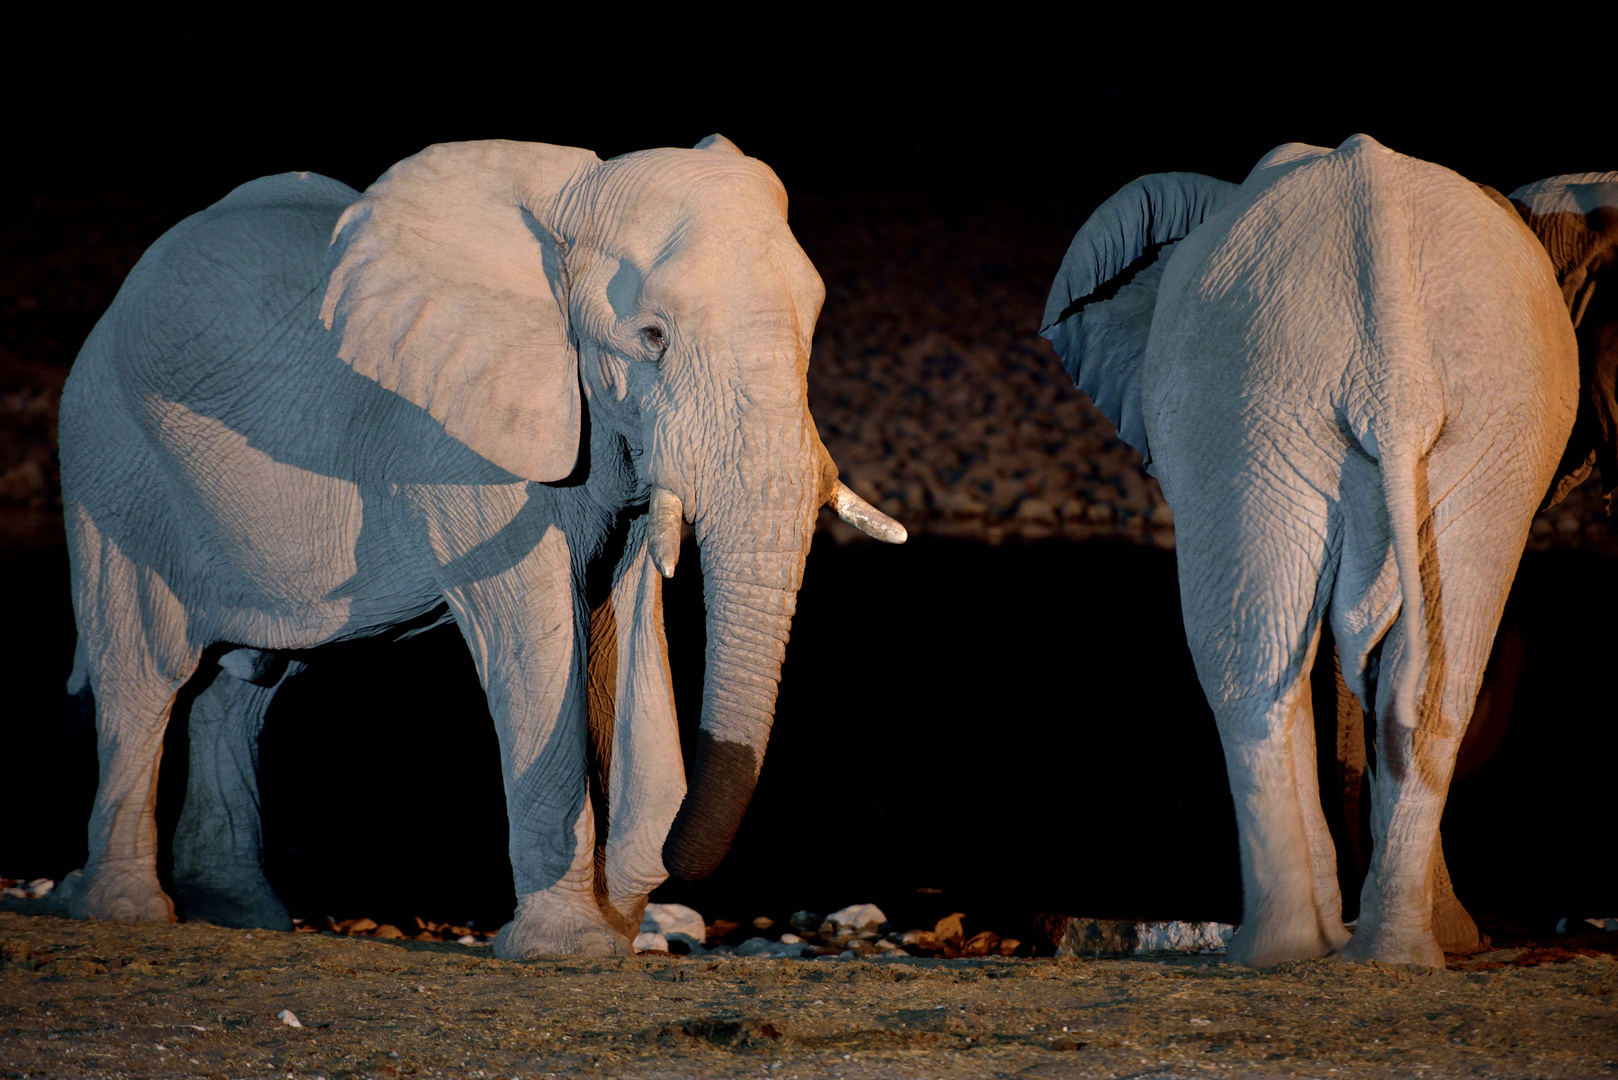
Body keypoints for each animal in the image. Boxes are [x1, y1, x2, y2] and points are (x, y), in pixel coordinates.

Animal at [53, 132, 912, 952]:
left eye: (810, 332)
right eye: (652, 337)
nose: (662, 863)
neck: (568, 210)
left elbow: (625, 618)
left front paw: (618, 922)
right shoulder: (455, 439)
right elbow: (534, 629)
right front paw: (570, 949)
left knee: (244, 687)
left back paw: (242, 917)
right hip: (110, 462)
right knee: (145, 675)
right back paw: (126, 912)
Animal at [1041, 135, 1611, 971]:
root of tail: (1392, 369)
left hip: (1253, 396)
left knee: (1246, 664)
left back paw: (1273, 952)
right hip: (1469, 411)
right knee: (1432, 669)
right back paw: (1388, 955)